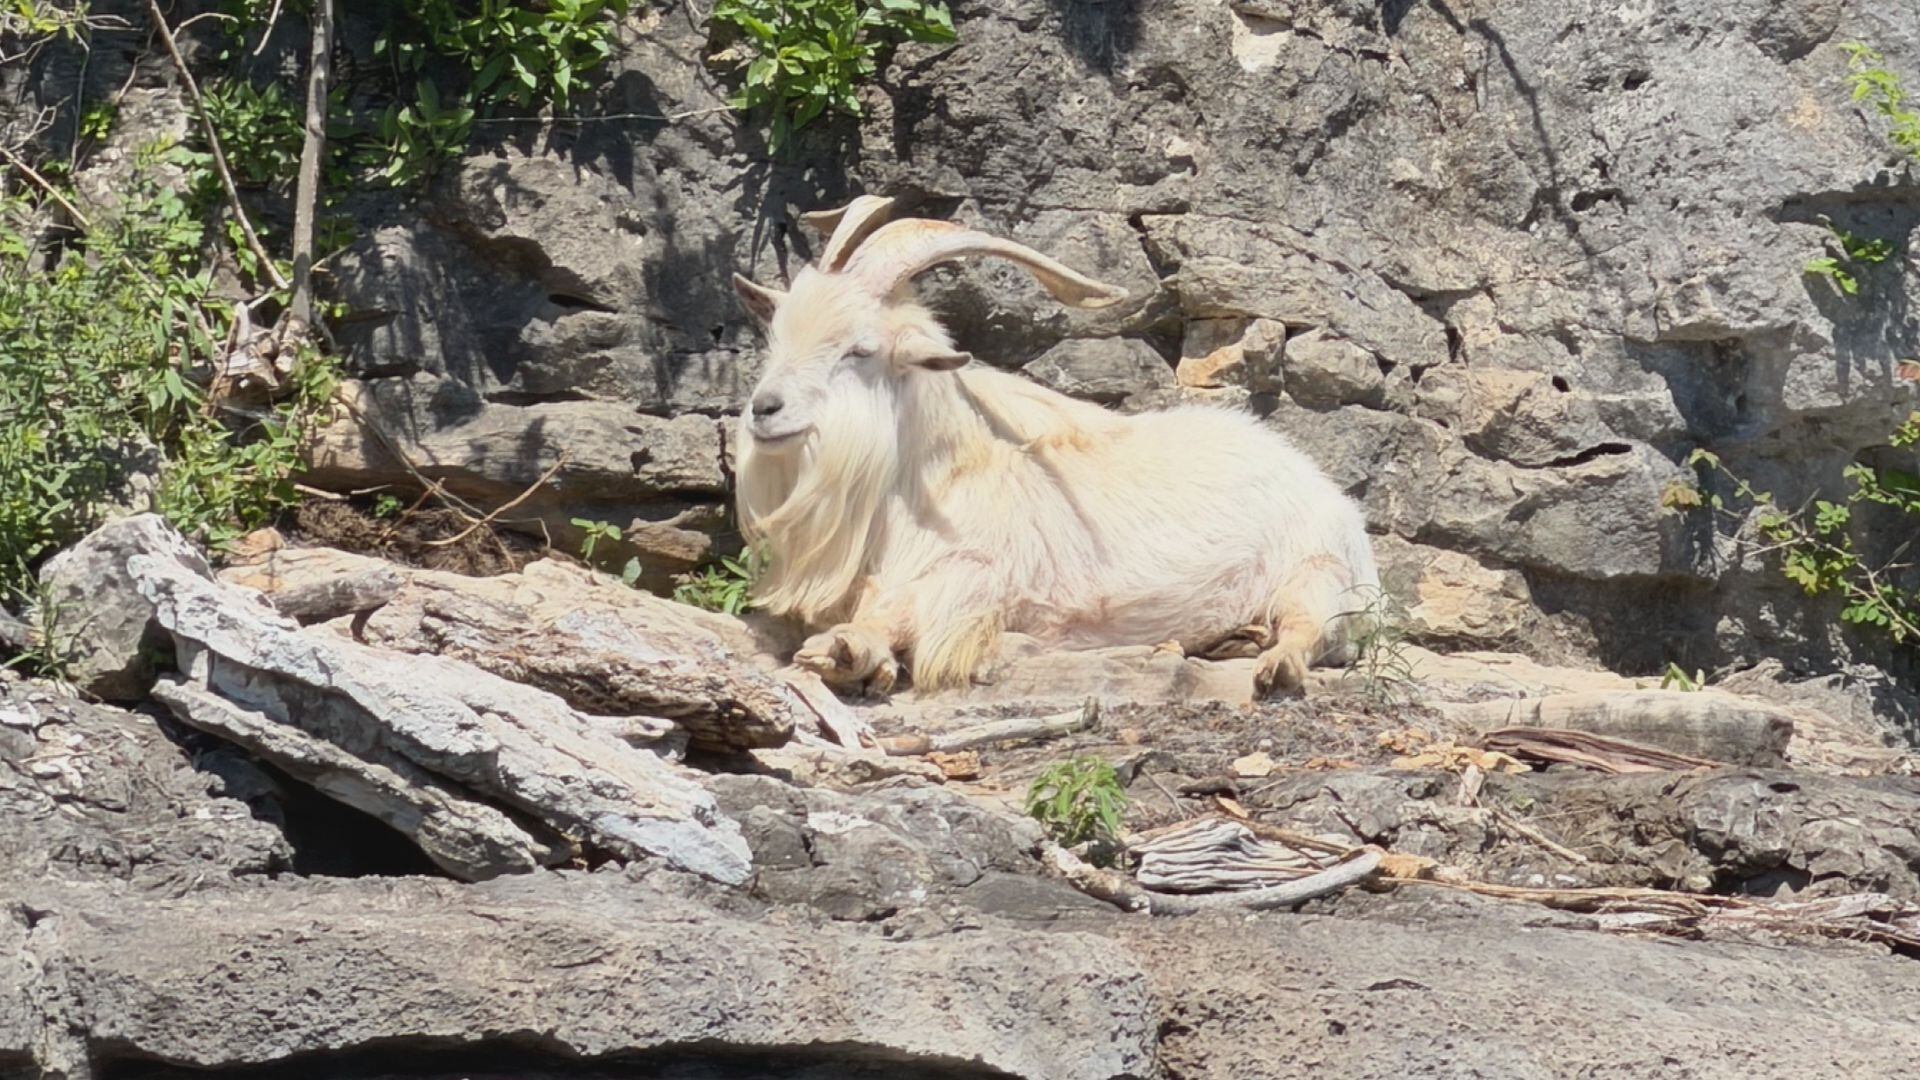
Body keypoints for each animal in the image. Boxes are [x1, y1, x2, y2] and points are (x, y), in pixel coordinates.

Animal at [731, 196, 1380, 697]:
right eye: (777, 334)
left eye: (859, 350)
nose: (765, 409)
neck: (934, 474)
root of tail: (1318, 481)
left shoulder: (978, 573)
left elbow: (899, 611)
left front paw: (847, 651)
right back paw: (1236, 638)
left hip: (1316, 568)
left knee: (1309, 628)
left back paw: (1274, 663)